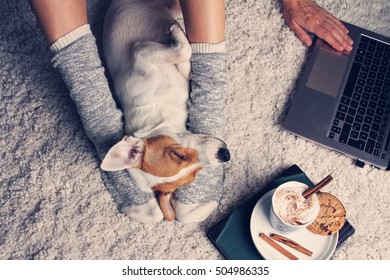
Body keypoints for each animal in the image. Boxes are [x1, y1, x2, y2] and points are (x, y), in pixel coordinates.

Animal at [100, 0, 230, 221]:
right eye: (193, 175)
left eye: (177, 154)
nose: (225, 154)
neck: (159, 115)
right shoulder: (141, 53)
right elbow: (183, 52)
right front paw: (177, 33)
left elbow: (185, 61)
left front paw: (177, 35)